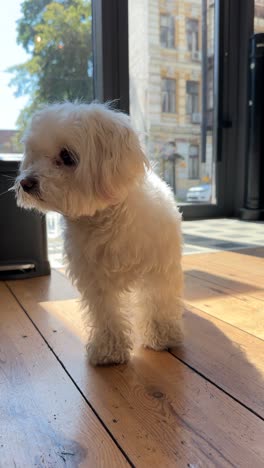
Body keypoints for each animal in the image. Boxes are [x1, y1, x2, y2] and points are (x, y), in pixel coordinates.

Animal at [14, 101, 184, 366]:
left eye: (67, 156)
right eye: (34, 153)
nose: (26, 183)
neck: (109, 220)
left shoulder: (158, 268)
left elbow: (158, 301)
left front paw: (162, 335)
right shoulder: (95, 278)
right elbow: (107, 313)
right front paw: (109, 350)